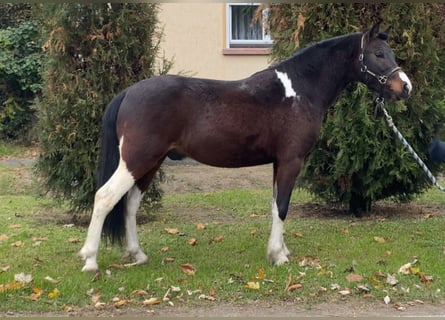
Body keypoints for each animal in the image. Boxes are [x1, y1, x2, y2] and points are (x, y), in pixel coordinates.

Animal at [79, 20, 410, 272]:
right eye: (378, 54)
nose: (405, 87)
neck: (299, 90)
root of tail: (129, 92)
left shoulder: (279, 162)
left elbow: (275, 205)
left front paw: (279, 250)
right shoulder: (291, 160)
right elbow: (283, 206)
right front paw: (278, 256)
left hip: (149, 163)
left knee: (130, 204)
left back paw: (137, 255)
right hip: (138, 159)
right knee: (105, 197)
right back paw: (90, 261)